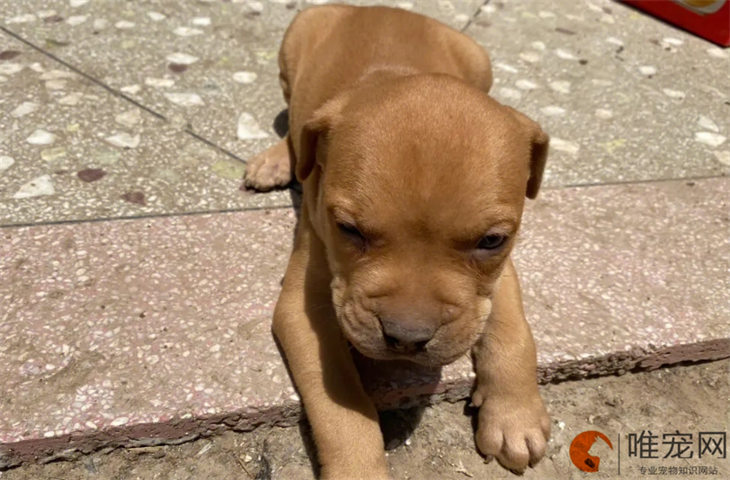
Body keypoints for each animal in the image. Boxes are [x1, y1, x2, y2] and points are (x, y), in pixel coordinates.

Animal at [245, 4, 544, 480]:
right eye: (348, 229)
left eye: (491, 240)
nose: (406, 339)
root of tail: (385, 8)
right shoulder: (303, 307)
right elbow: (340, 406)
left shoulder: (501, 270)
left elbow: (515, 332)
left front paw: (514, 416)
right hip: (294, 42)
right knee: (295, 126)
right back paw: (274, 160)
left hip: (480, 60)